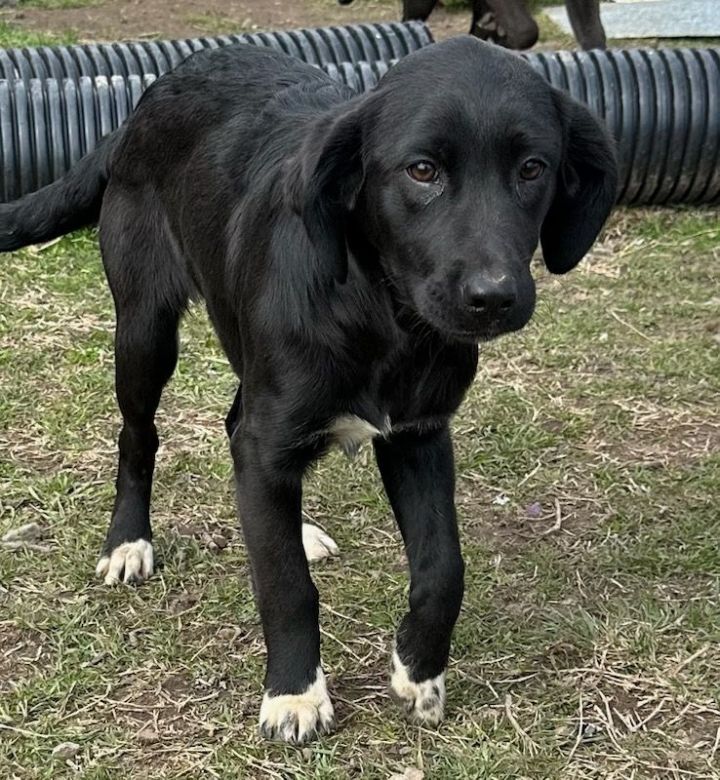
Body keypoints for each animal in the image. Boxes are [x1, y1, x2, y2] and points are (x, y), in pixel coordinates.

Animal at [0, 38, 620, 744]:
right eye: (422, 170)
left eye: (533, 168)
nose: (492, 298)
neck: (382, 314)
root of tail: (152, 92)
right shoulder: (273, 438)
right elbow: (284, 584)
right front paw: (295, 693)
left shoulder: (418, 434)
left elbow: (443, 567)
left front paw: (420, 671)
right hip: (144, 328)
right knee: (139, 435)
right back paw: (128, 541)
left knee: (233, 428)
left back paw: (295, 530)